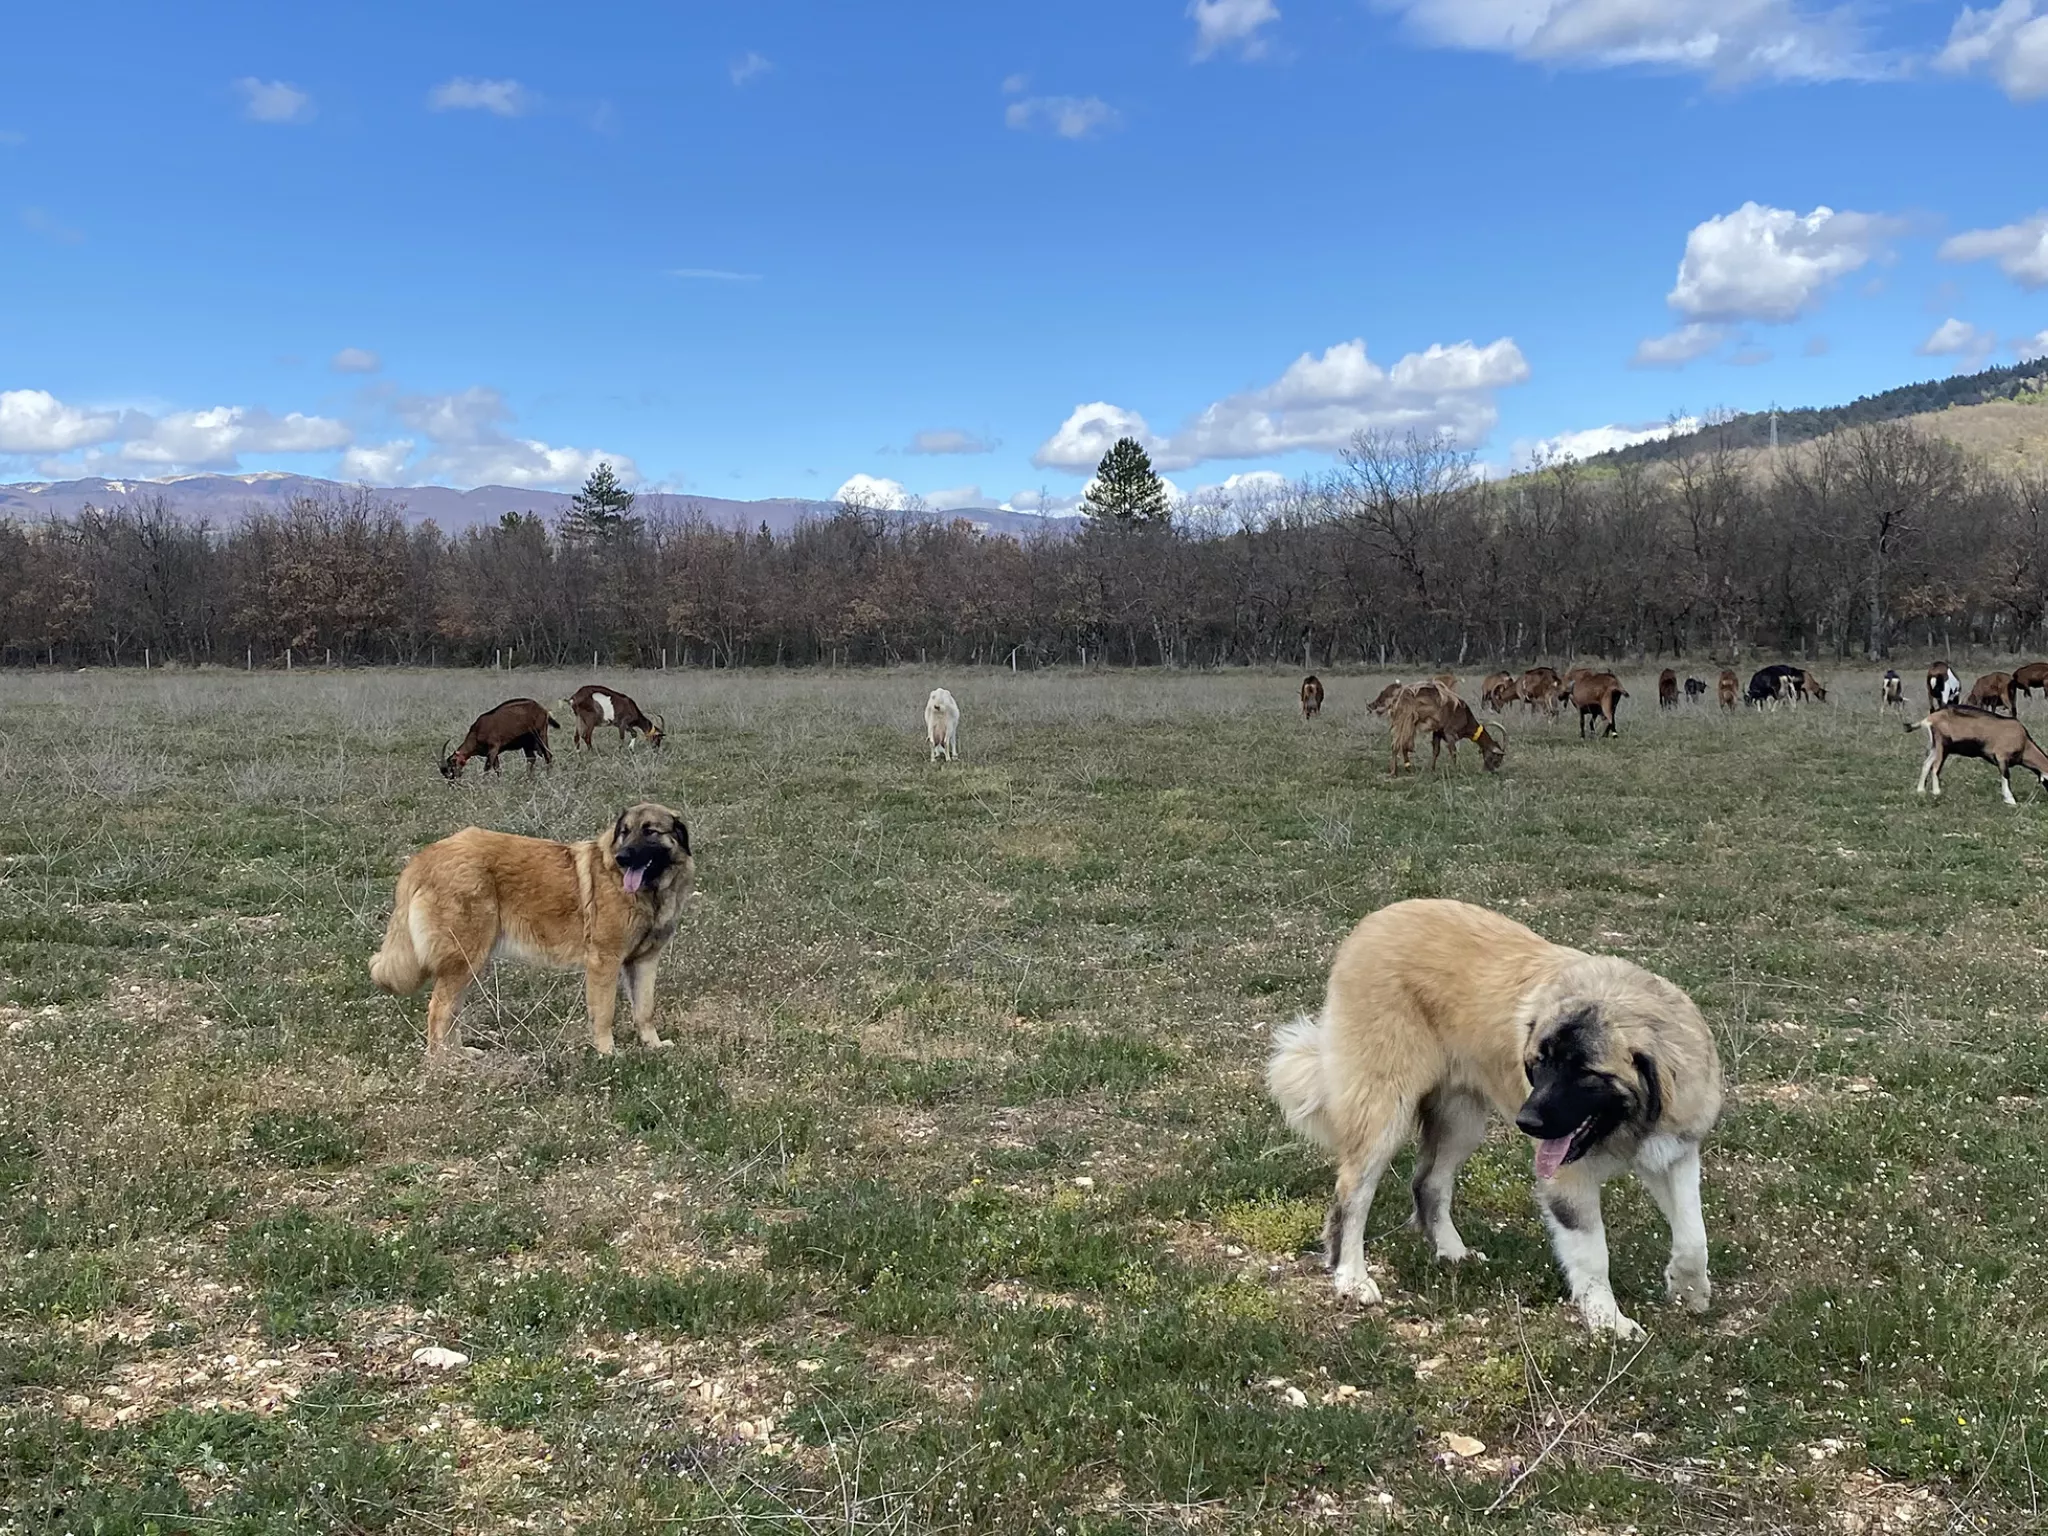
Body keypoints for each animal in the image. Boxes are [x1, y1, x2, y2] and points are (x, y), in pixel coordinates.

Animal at [380, 798, 700, 1064]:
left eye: (650, 831)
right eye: (625, 831)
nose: (622, 857)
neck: (650, 893)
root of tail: (425, 857)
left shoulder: (644, 962)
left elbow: (645, 1010)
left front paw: (652, 1045)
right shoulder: (604, 962)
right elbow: (604, 1013)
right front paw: (607, 1051)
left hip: (470, 963)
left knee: (451, 1011)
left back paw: (460, 1054)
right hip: (465, 958)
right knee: (439, 1011)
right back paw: (443, 1064)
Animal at [1269, 897, 1720, 1343]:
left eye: (1584, 1072)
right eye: (1539, 1063)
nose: (1528, 1122)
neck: (1631, 1120)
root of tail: (1374, 922)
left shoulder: (1673, 1152)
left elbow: (1694, 1236)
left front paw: (1688, 1289)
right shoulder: (1568, 1177)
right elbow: (1594, 1254)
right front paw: (1608, 1320)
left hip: (1461, 1121)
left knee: (1429, 1183)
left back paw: (1453, 1253)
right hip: (1384, 1113)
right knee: (1353, 1195)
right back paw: (1352, 1277)